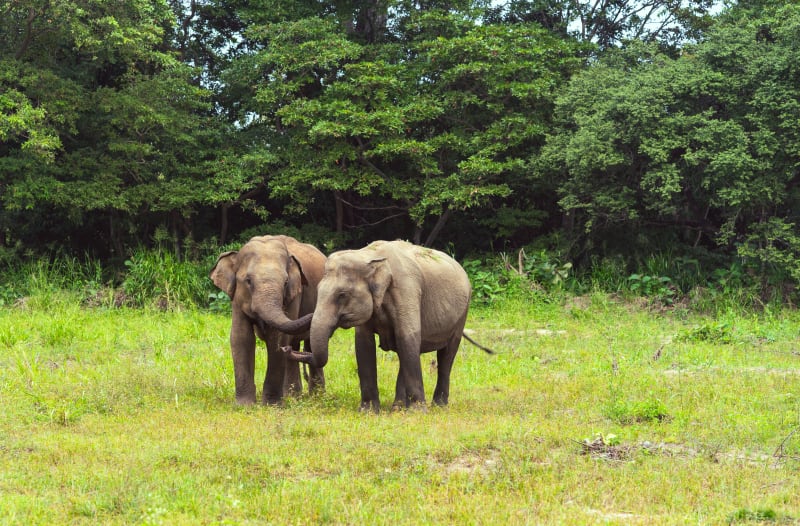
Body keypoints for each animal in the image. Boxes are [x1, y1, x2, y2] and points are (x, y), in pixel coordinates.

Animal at [210, 235, 326, 405]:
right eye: (248, 280)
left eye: (285, 282)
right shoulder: (236, 298)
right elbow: (241, 337)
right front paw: (244, 405)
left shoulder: (294, 295)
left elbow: (277, 339)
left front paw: (271, 405)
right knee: (294, 345)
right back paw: (293, 396)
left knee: (308, 345)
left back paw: (314, 397)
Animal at [286, 239, 489, 411]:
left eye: (342, 295)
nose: (287, 349)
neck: (369, 256)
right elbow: (364, 345)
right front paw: (368, 411)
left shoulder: (406, 290)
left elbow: (407, 337)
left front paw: (417, 412)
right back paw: (398, 408)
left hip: (462, 313)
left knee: (446, 355)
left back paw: (437, 406)